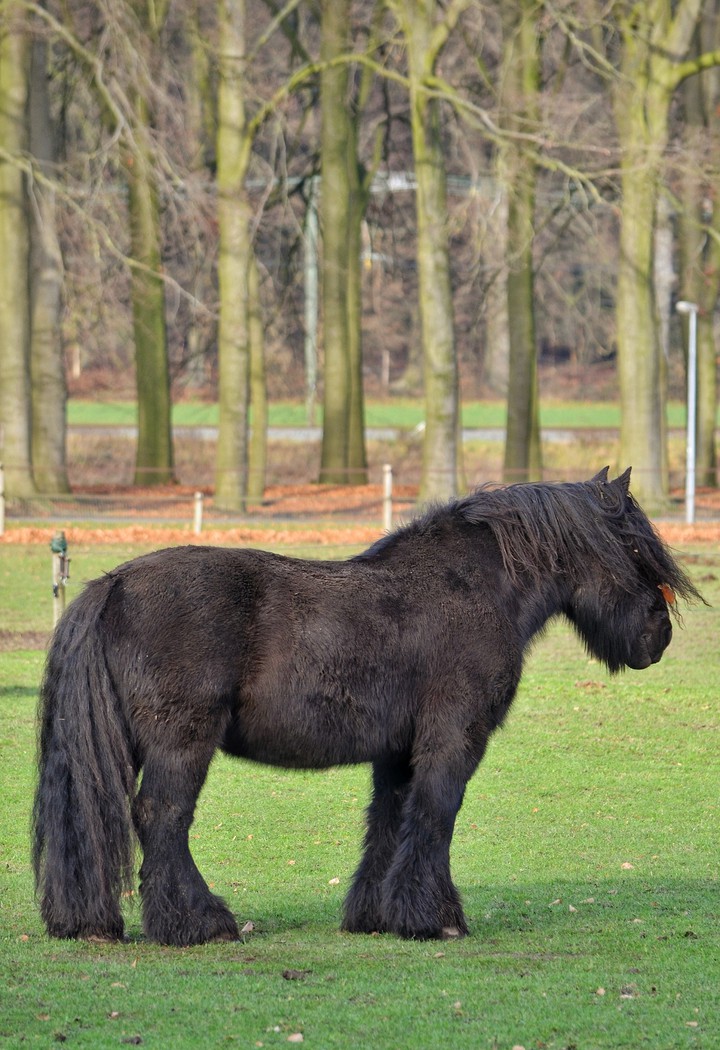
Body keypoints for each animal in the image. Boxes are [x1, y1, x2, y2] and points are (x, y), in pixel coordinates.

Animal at [32, 467, 700, 946]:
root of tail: (115, 583)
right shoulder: (452, 740)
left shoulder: (397, 753)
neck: (474, 588)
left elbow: (390, 823)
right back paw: (200, 924)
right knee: (162, 819)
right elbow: (436, 815)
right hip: (182, 744)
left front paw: (379, 915)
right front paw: (437, 918)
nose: (659, 634)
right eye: (634, 549)